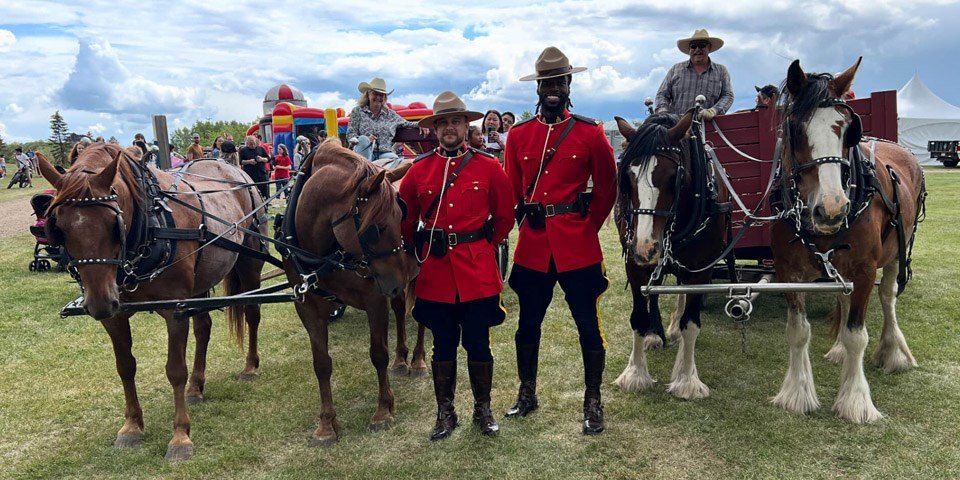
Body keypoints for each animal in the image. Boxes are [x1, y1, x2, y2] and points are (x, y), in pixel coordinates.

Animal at [36, 144, 266, 460]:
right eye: (58, 226)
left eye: (114, 223)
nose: (99, 303)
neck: (151, 224)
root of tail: (235, 169)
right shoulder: (116, 316)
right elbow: (125, 367)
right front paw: (132, 426)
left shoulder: (174, 309)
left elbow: (175, 370)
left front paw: (180, 437)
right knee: (203, 327)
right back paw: (196, 386)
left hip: (249, 261)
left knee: (252, 313)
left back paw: (250, 367)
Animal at [284, 137, 422, 444]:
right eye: (376, 228)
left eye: (402, 216)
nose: (396, 281)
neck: (322, 255)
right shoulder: (307, 306)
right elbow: (321, 363)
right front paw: (326, 424)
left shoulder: (375, 299)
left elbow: (378, 354)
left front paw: (383, 411)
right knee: (401, 311)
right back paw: (401, 359)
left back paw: (418, 360)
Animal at [612, 110, 732, 400]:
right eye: (628, 177)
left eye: (672, 177)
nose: (646, 247)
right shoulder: (634, 264)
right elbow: (638, 316)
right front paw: (635, 373)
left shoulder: (702, 268)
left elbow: (691, 322)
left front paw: (687, 379)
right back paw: (654, 334)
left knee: (681, 291)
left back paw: (674, 327)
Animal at [768, 58, 928, 422]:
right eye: (795, 128)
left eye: (845, 128)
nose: (831, 209)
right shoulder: (788, 272)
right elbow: (798, 331)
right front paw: (797, 393)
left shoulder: (865, 270)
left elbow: (858, 334)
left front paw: (855, 401)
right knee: (843, 299)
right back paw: (840, 349)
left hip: (897, 250)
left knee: (887, 297)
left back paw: (893, 352)